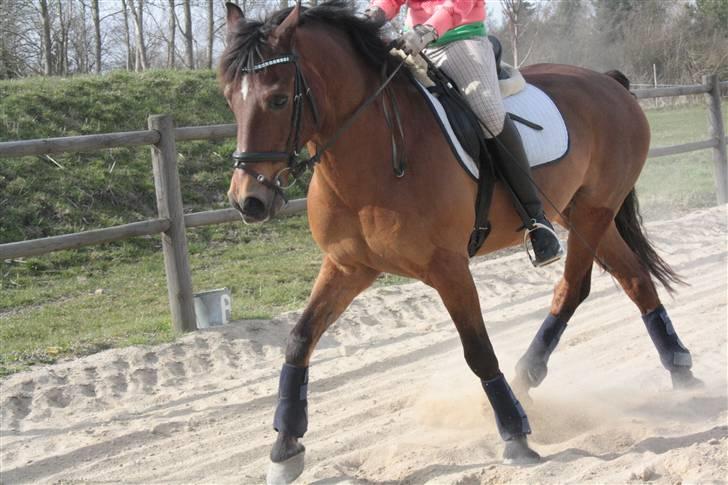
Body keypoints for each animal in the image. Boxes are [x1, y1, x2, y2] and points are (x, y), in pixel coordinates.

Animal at [218, 0, 700, 480]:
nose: (249, 201)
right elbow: (300, 339)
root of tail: (608, 82)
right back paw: (679, 370)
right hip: (582, 212)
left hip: (592, 212)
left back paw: (529, 376)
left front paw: (515, 435)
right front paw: (285, 447)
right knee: (634, 279)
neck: (375, 156)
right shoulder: (347, 267)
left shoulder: (448, 268)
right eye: (230, 99)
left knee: (573, 288)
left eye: (278, 99)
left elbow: (478, 350)